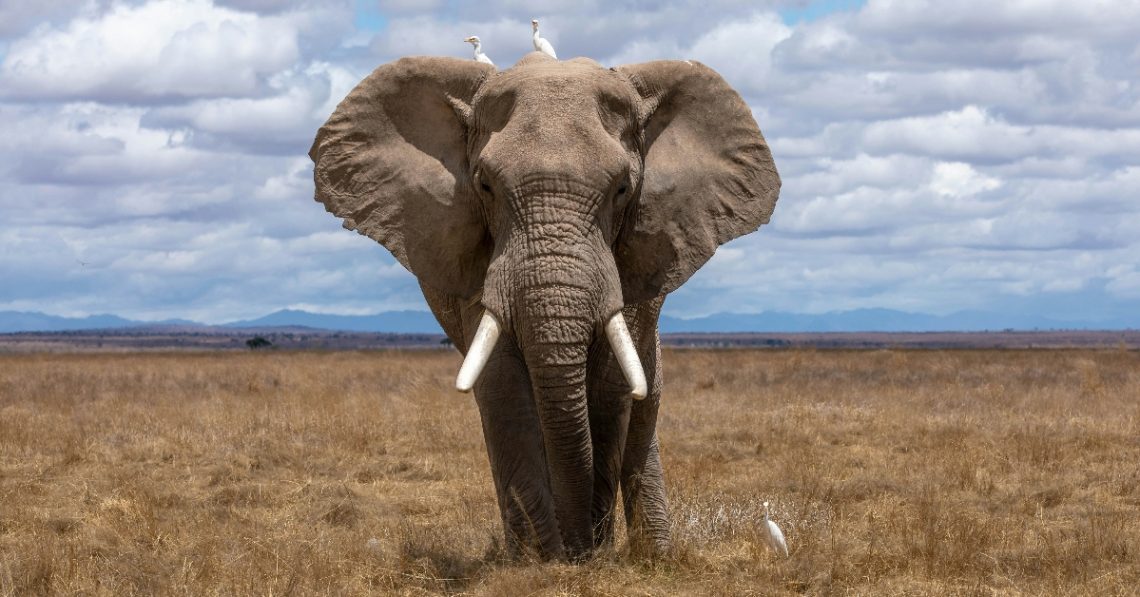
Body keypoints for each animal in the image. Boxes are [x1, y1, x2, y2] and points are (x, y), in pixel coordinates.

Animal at [309, 52, 780, 560]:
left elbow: (611, 388)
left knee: (643, 407)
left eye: (622, 189)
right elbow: (503, 386)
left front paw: (589, 554)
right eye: (485, 186)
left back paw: (654, 555)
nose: (579, 549)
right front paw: (541, 561)